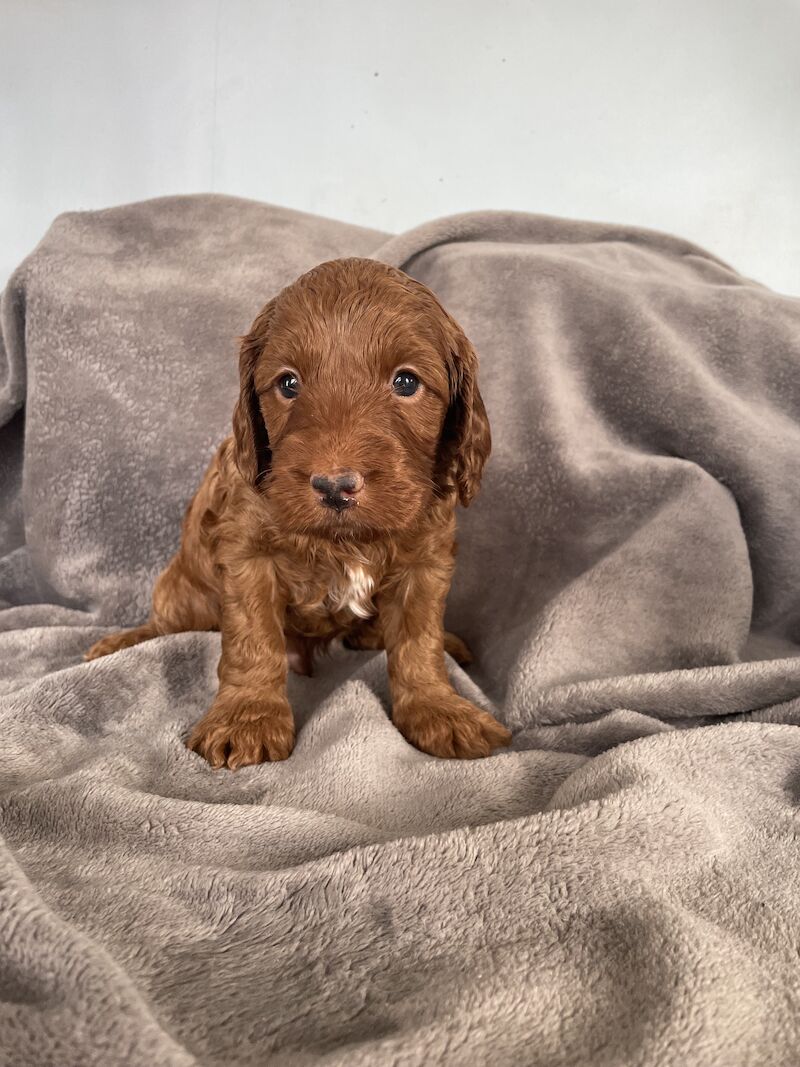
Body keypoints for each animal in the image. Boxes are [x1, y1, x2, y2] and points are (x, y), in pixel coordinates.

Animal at [87, 256, 514, 768]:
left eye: (407, 382)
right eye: (288, 383)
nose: (334, 486)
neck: (345, 540)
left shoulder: (426, 560)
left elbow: (418, 641)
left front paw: (439, 709)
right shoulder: (246, 553)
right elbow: (254, 640)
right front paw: (247, 719)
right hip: (179, 592)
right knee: (166, 625)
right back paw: (120, 642)